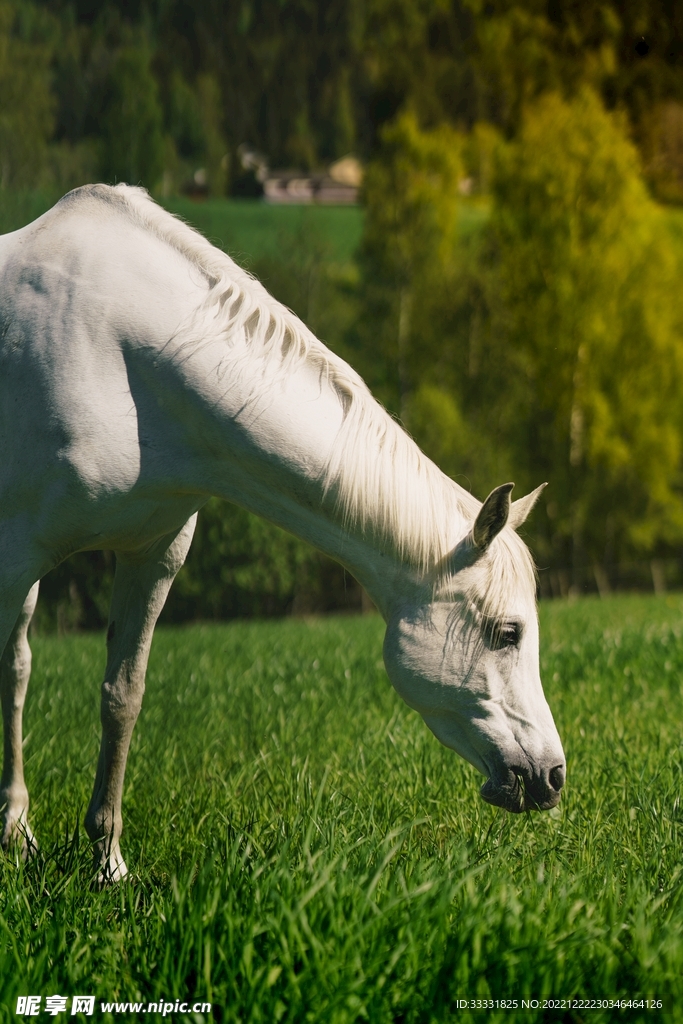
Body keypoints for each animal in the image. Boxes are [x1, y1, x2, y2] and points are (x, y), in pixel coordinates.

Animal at [0, 184, 565, 882]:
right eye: (507, 633)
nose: (552, 776)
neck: (118, 355)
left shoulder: (153, 554)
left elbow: (121, 698)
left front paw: (108, 863)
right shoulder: (16, 553)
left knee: (18, 669)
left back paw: (18, 830)